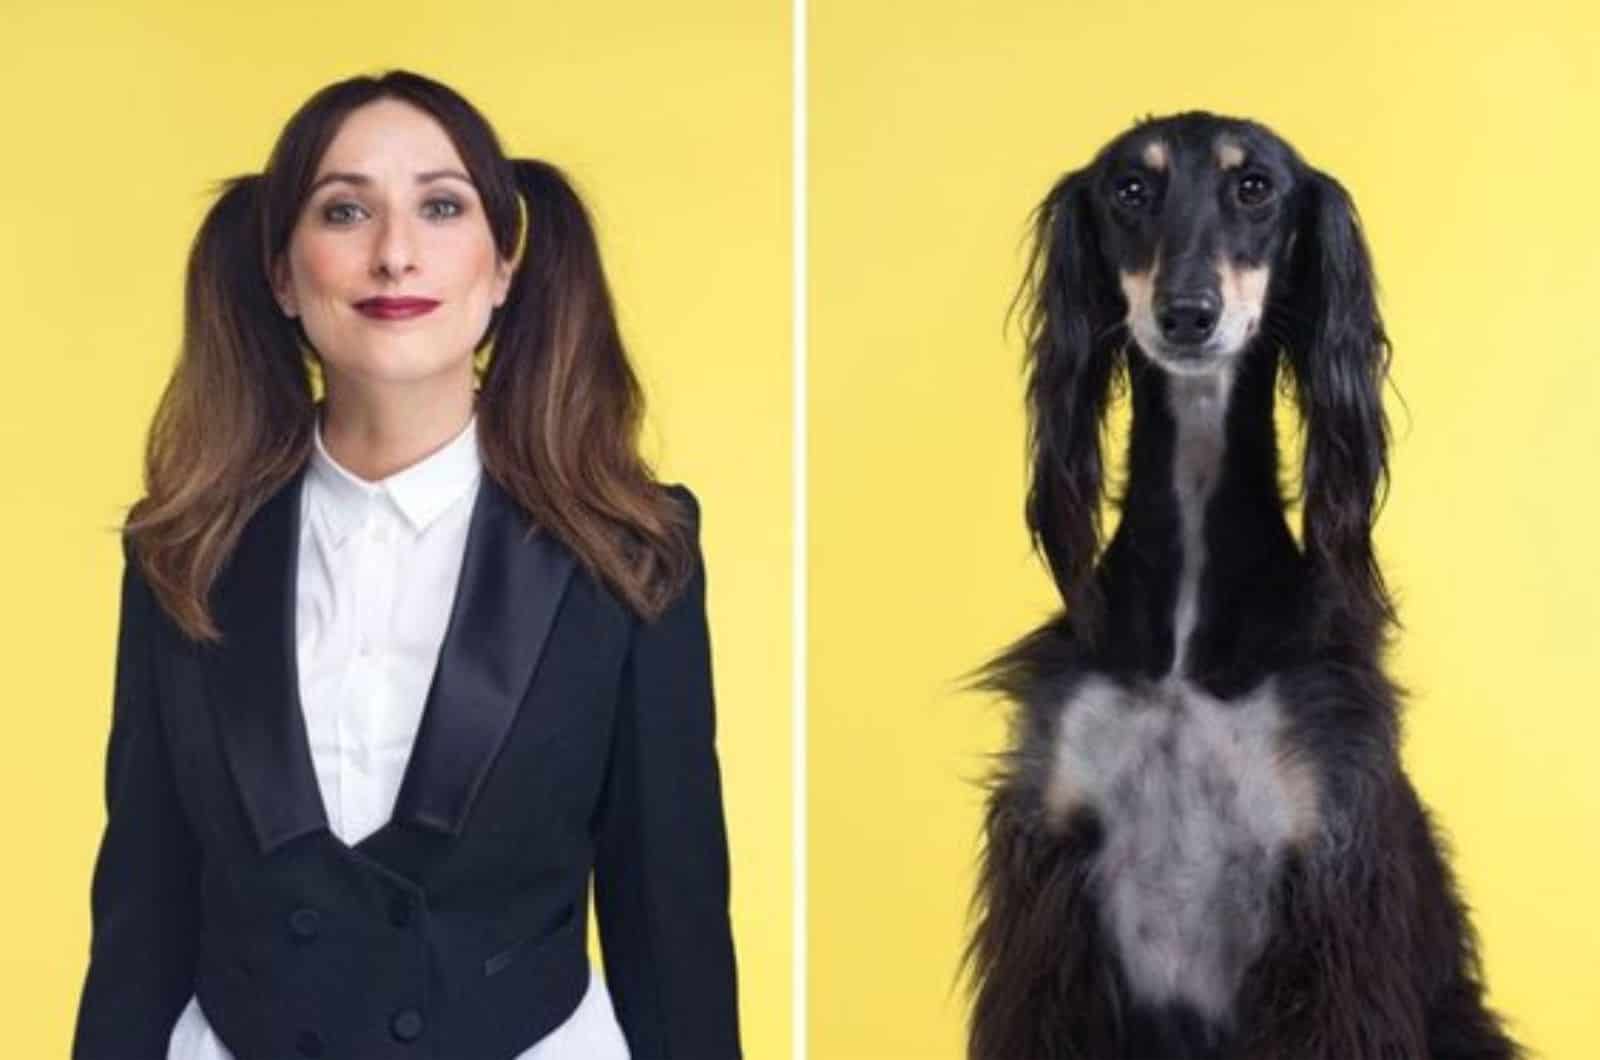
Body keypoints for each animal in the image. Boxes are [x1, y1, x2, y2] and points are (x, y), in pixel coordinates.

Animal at [960, 112, 1523, 1056]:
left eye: (1254, 186)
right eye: (1131, 189)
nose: (1187, 314)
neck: (1185, 650)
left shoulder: (1330, 904)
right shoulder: (1050, 909)